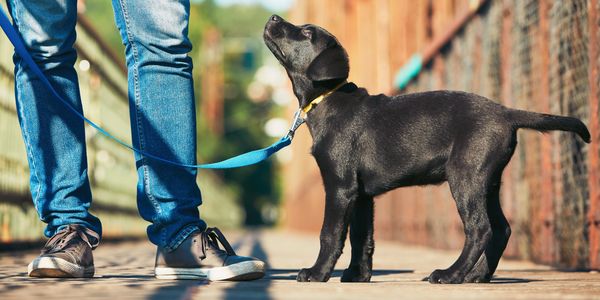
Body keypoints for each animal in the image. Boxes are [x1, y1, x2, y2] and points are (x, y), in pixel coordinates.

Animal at [264, 15, 592, 284]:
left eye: (306, 32)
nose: (273, 16)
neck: (328, 99)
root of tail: (506, 112)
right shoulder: (361, 194)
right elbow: (362, 237)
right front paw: (357, 275)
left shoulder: (340, 187)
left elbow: (330, 234)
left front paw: (317, 273)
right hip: (488, 181)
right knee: (501, 229)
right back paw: (477, 276)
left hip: (465, 177)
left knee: (480, 228)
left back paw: (451, 274)